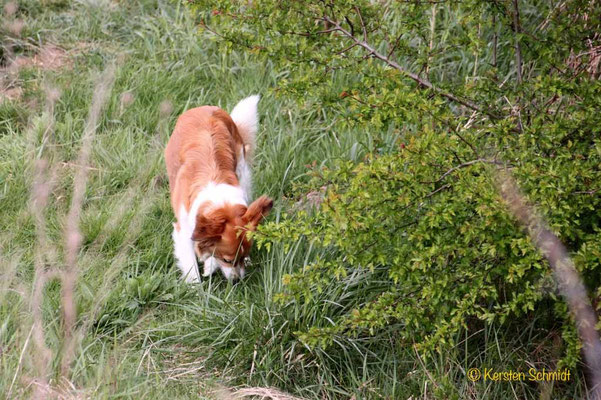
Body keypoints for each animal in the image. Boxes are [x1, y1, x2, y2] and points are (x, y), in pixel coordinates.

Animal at [166, 95, 274, 282]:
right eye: (227, 260)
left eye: (243, 257)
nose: (238, 281)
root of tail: (206, 107)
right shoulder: (184, 229)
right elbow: (192, 266)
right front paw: (196, 286)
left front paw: (210, 264)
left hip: (242, 168)